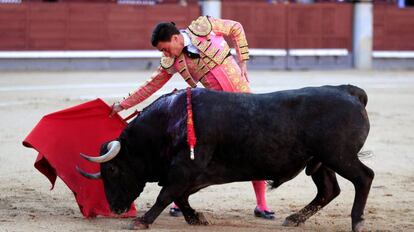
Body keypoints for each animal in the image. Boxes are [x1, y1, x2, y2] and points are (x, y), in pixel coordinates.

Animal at [78, 85, 376, 232]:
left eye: (113, 170)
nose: (115, 208)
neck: (170, 121)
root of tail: (350, 93)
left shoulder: (187, 168)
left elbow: (166, 194)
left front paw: (142, 221)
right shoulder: (196, 175)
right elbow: (179, 196)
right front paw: (196, 218)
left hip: (339, 156)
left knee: (364, 178)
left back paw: (357, 222)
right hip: (320, 162)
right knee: (329, 190)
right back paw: (294, 219)